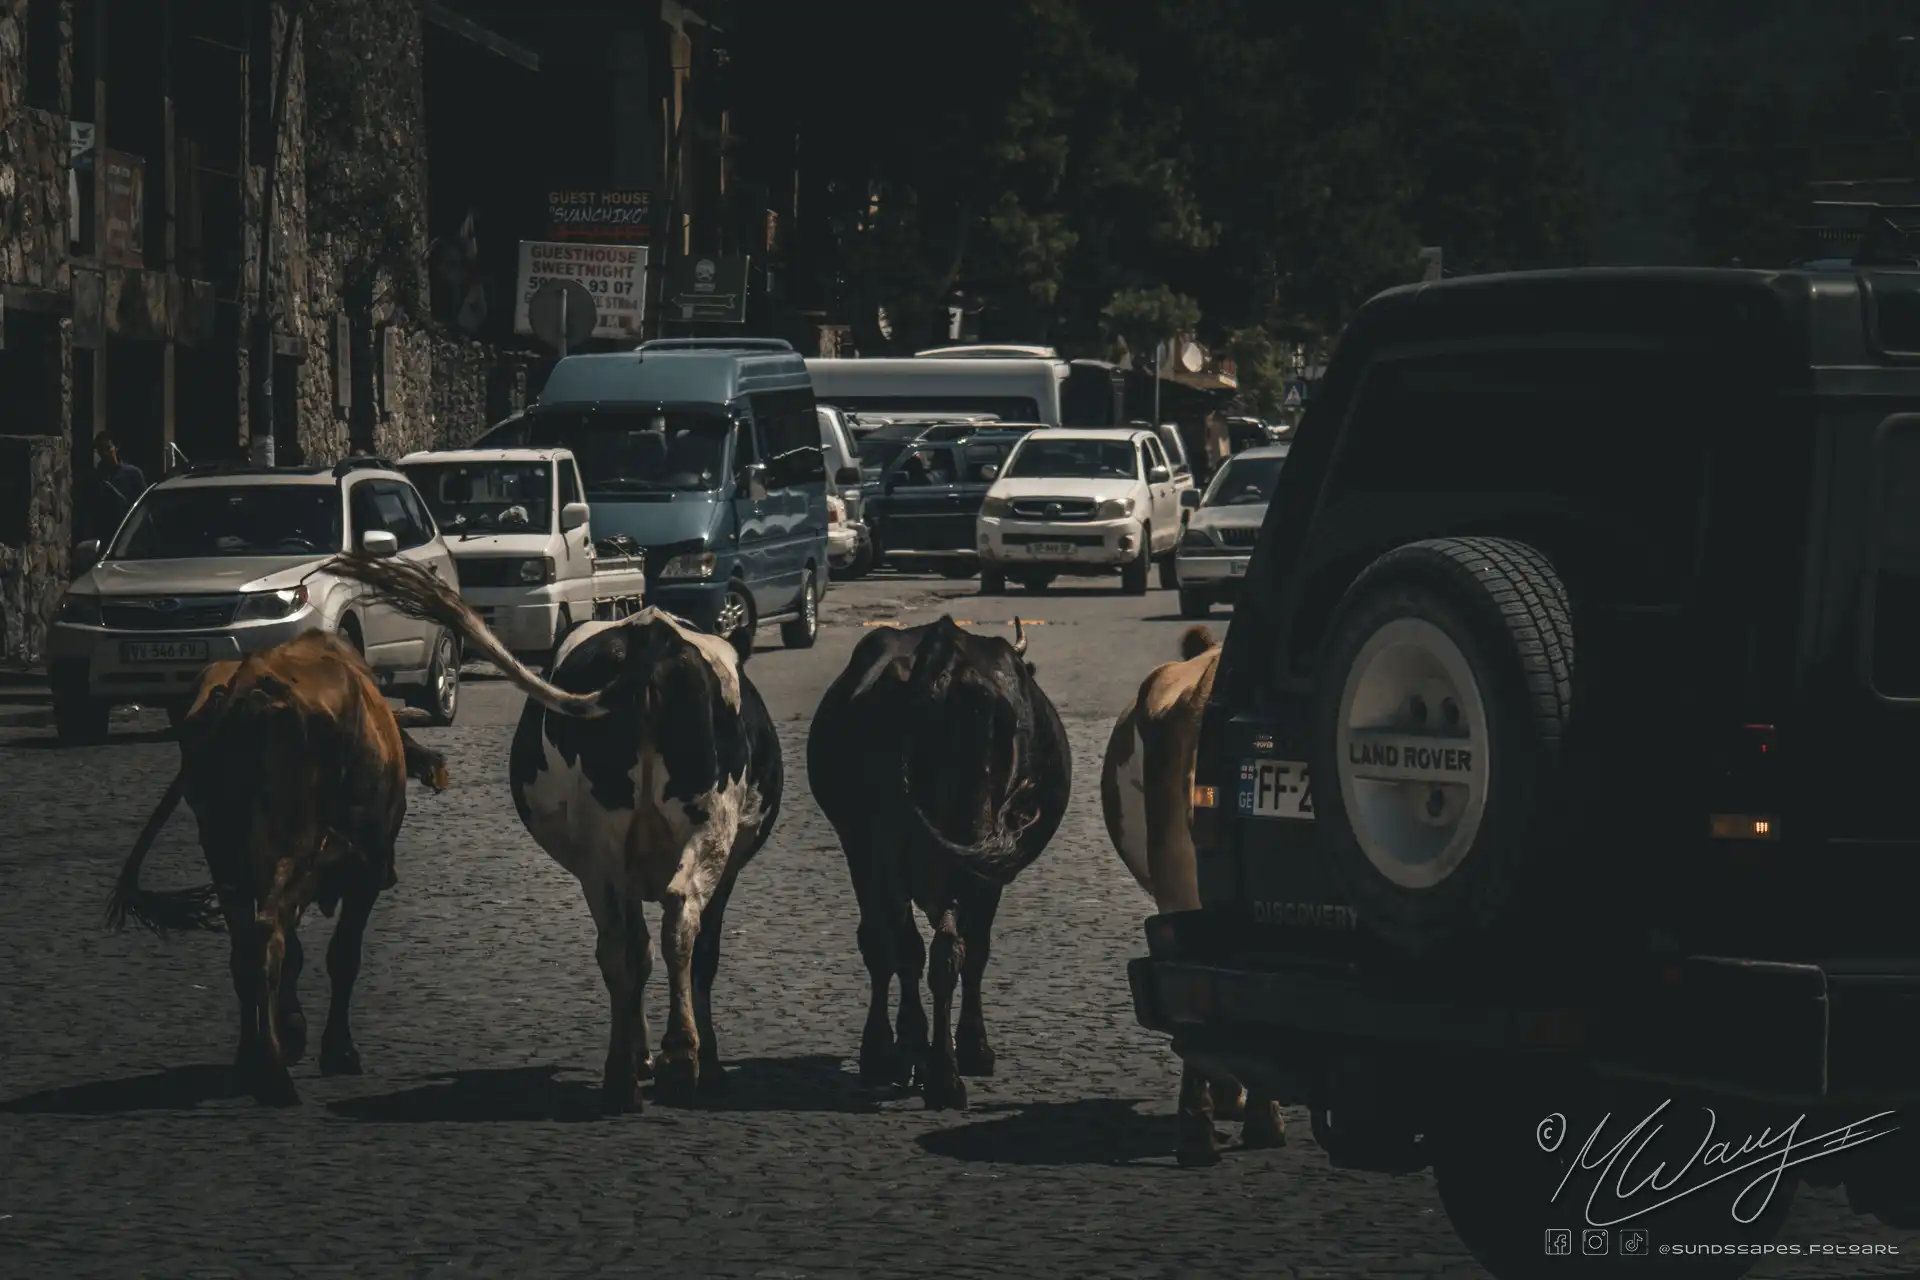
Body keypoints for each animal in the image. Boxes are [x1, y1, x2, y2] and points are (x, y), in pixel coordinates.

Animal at [108, 629, 449, 1105]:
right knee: (268, 935)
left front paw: (294, 1030)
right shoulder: (363, 870)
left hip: (225, 852)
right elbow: (343, 956)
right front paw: (336, 1050)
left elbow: (300, 955)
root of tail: (246, 687)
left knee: (245, 949)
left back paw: (250, 1058)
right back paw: (272, 1072)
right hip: (292, 844)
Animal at [318, 552, 783, 1113]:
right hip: (703, 830)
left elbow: (640, 951)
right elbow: (701, 957)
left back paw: (622, 1076)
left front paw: (642, 1056)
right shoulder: (729, 860)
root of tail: (652, 640)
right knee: (679, 921)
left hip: (600, 852)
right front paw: (699, 1063)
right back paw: (680, 1057)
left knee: (619, 946)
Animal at [810, 614, 1075, 1105]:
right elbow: (972, 951)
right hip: (959, 852)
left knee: (899, 946)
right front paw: (970, 1047)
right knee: (941, 952)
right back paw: (939, 1072)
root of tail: (942, 656)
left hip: (879, 851)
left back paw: (905, 1057)